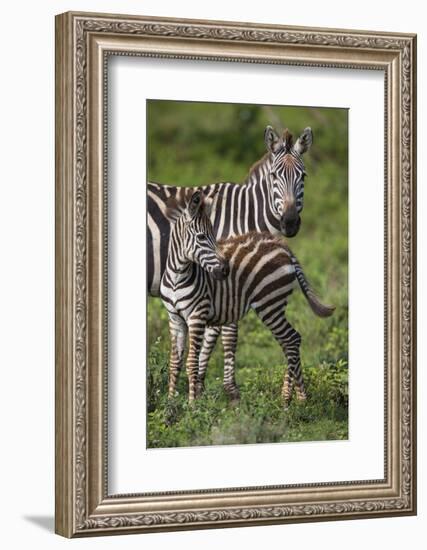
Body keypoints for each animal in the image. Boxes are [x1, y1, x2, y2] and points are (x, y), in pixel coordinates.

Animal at [148, 124, 314, 398]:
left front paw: (200, 388)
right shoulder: (226, 279)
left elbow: (212, 335)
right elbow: (228, 334)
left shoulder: (222, 286)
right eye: (274, 177)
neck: (244, 215)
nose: (290, 222)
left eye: (303, 177)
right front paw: (230, 391)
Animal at [160, 192, 334, 408]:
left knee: (291, 340)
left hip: (269, 303)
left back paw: (290, 400)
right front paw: (170, 403)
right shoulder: (174, 318)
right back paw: (297, 398)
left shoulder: (196, 316)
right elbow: (174, 363)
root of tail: (283, 247)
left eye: (213, 236)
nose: (225, 270)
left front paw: (192, 406)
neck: (177, 276)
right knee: (290, 341)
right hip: (275, 306)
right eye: (201, 237)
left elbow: (192, 362)